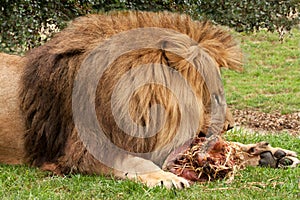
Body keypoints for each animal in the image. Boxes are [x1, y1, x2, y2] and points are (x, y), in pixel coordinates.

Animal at [0, 10, 298, 189]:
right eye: (213, 95)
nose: (231, 125)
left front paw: (272, 154)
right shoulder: (86, 150)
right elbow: (133, 162)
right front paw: (167, 178)